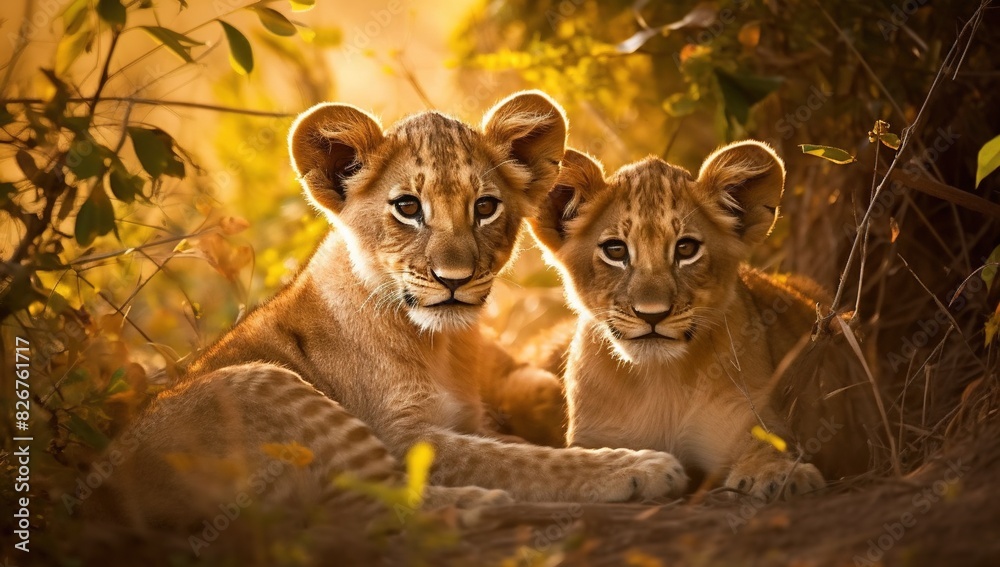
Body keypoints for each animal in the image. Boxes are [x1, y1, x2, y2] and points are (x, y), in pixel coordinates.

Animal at [86, 92, 687, 536]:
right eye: (407, 208)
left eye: (485, 206)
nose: (454, 279)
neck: (440, 344)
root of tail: (108, 501)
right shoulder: (403, 435)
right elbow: (519, 460)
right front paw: (636, 466)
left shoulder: (471, 419)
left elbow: (514, 447)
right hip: (260, 382)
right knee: (354, 506)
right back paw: (474, 504)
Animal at [527, 142, 885, 502]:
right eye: (615, 250)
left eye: (686, 249)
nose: (652, 314)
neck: (660, 381)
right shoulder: (597, 436)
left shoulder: (746, 416)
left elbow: (767, 448)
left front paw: (780, 474)